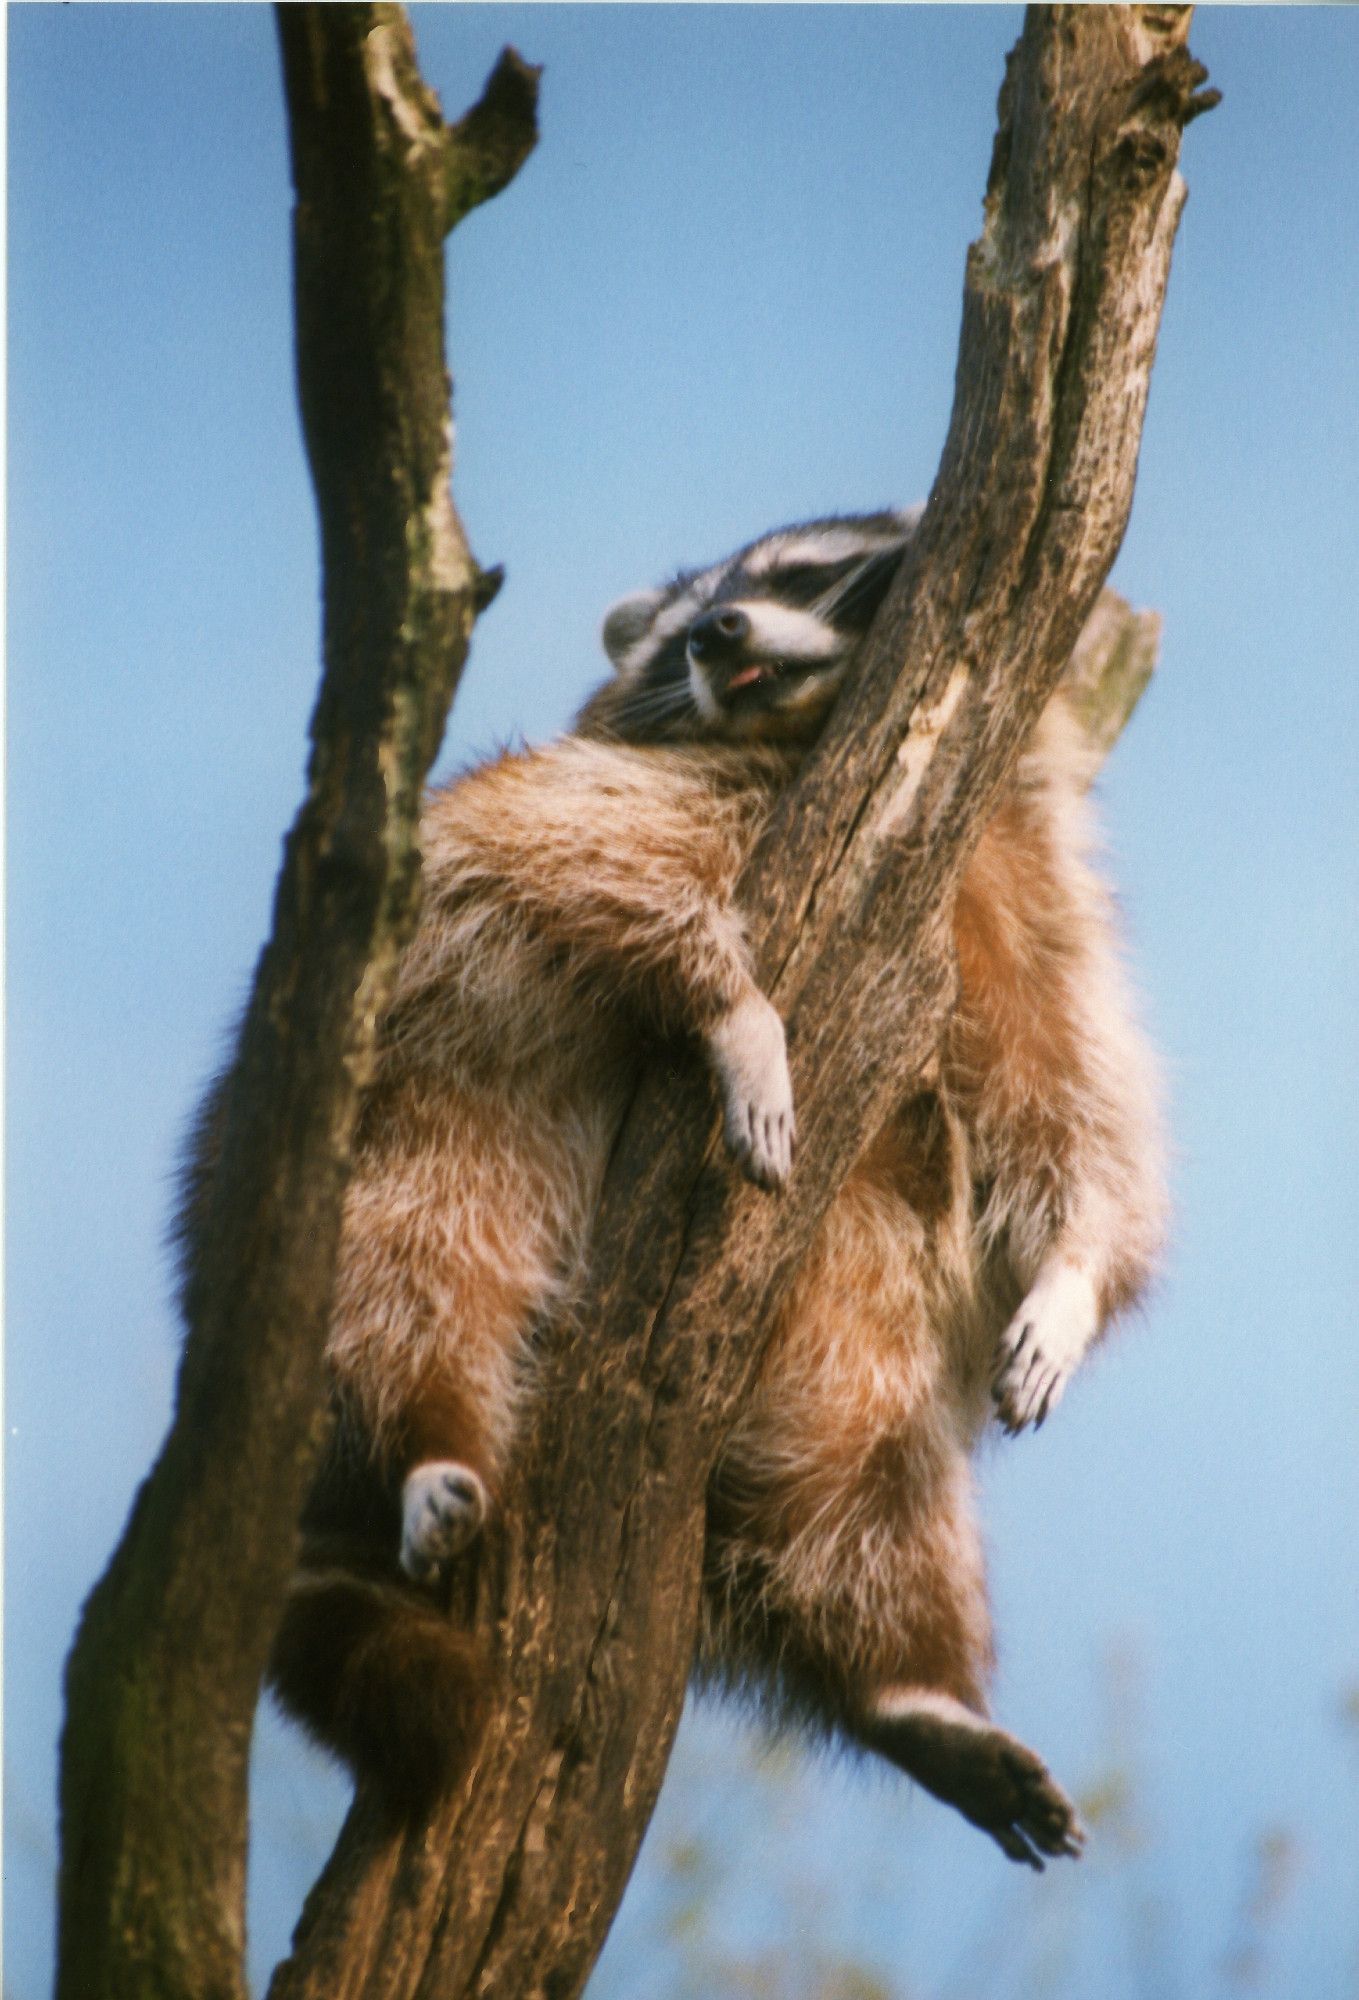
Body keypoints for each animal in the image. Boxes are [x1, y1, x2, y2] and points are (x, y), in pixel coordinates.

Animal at [177, 508, 1159, 1864]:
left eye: (797, 571)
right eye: (690, 612)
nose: (717, 628)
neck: (803, 735)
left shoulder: (1024, 895)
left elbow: (1078, 1112)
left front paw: (1075, 1274)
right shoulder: (634, 798)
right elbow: (573, 857)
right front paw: (731, 1004)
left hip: (842, 1338)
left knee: (871, 1495)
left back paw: (907, 1683)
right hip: (403, 1145)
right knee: (405, 1284)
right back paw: (424, 1436)